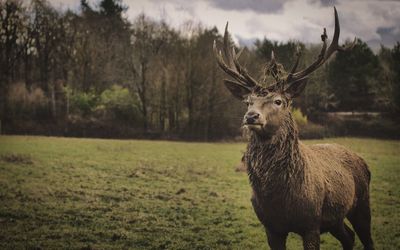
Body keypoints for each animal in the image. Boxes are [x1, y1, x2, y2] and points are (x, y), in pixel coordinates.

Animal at [214, 6, 374, 249]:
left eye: (278, 101)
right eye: (248, 101)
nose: (251, 116)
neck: (279, 200)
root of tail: (362, 161)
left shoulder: (311, 224)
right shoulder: (271, 227)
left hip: (362, 202)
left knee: (366, 238)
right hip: (335, 219)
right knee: (349, 236)